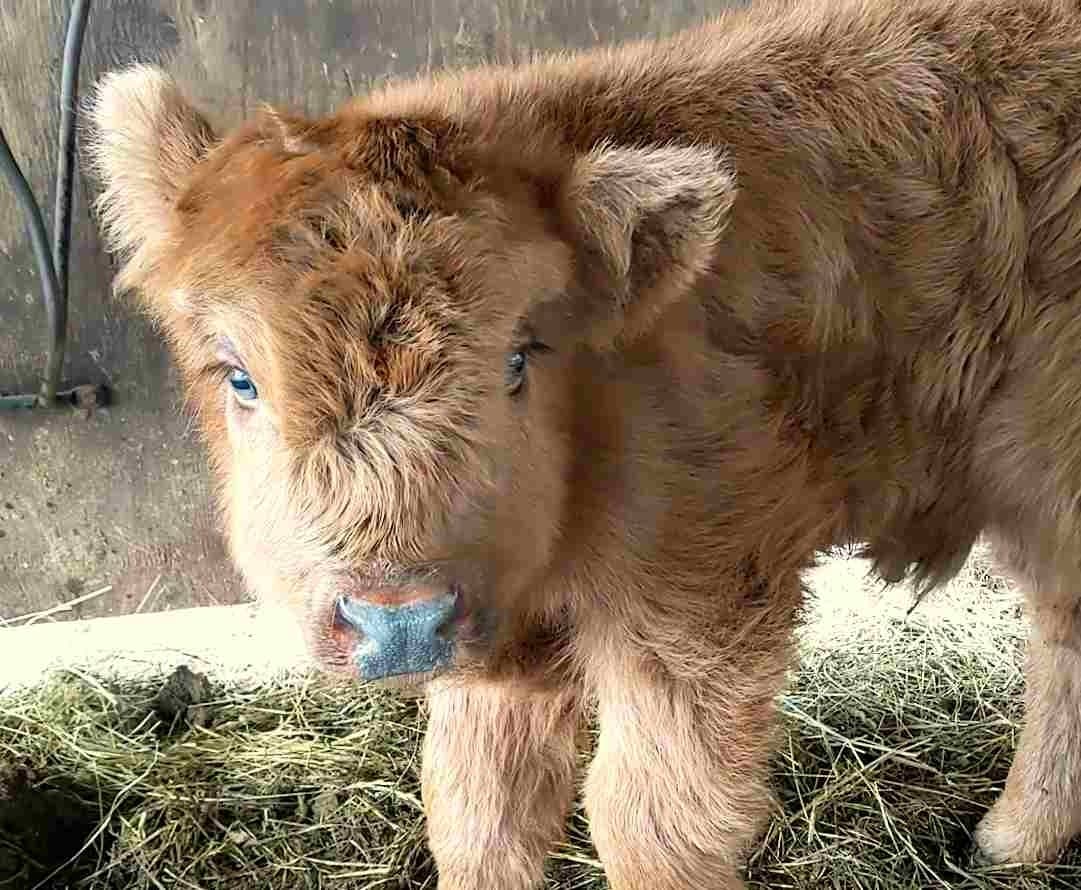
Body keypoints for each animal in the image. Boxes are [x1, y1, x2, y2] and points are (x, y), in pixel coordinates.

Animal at [86, 0, 1081, 886]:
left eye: (517, 357)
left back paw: (1010, 835)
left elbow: (651, 826)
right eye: (239, 377)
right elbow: (481, 812)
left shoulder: (700, 619)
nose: (395, 619)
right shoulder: (491, 655)